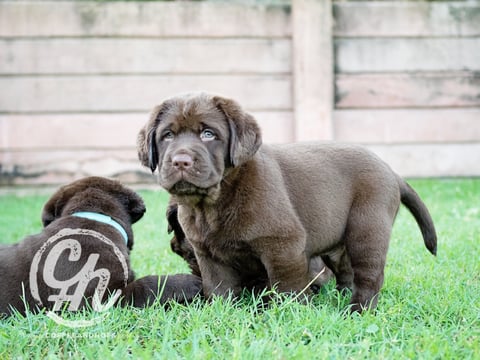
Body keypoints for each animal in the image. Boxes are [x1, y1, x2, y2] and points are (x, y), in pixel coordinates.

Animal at [137, 93, 436, 312]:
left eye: (208, 134)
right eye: (167, 136)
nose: (181, 161)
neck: (213, 203)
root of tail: (391, 171)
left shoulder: (283, 245)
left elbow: (286, 287)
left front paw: (289, 315)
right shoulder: (207, 254)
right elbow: (219, 289)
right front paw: (222, 315)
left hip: (368, 228)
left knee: (369, 275)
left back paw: (358, 310)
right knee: (347, 271)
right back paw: (342, 297)